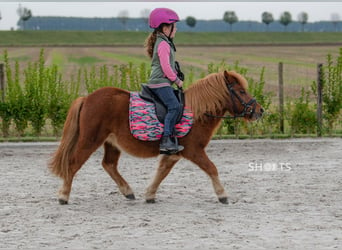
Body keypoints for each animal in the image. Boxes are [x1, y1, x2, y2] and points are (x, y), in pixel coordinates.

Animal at [48, 71, 264, 205]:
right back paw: (63, 196)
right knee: (73, 163)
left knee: (109, 165)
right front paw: (223, 195)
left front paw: (150, 194)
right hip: (90, 140)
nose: (259, 111)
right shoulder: (194, 150)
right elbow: (212, 168)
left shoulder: (174, 153)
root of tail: (87, 98)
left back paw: (128, 191)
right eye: (242, 91)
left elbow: (162, 171)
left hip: (111, 143)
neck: (198, 112)